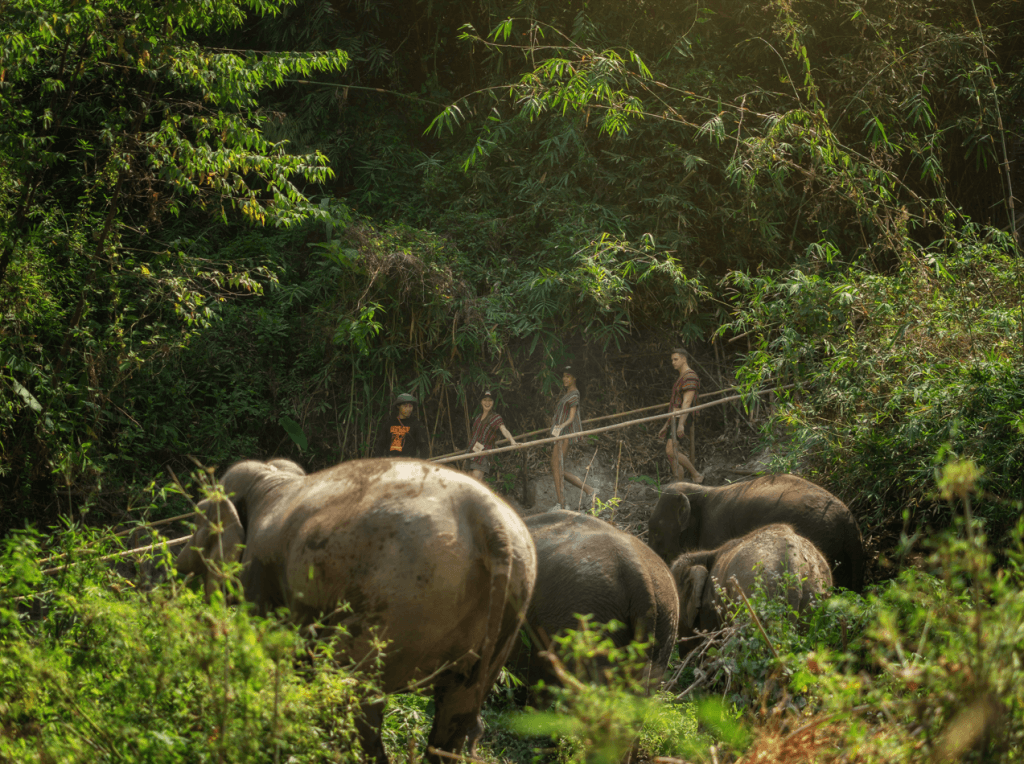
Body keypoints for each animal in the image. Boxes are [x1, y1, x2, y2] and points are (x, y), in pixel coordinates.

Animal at [175, 457, 538, 764]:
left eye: (195, 522)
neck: (272, 479)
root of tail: (490, 523)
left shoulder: (260, 570)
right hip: (503, 617)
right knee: (457, 709)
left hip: (403, 603)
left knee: (351, 686)